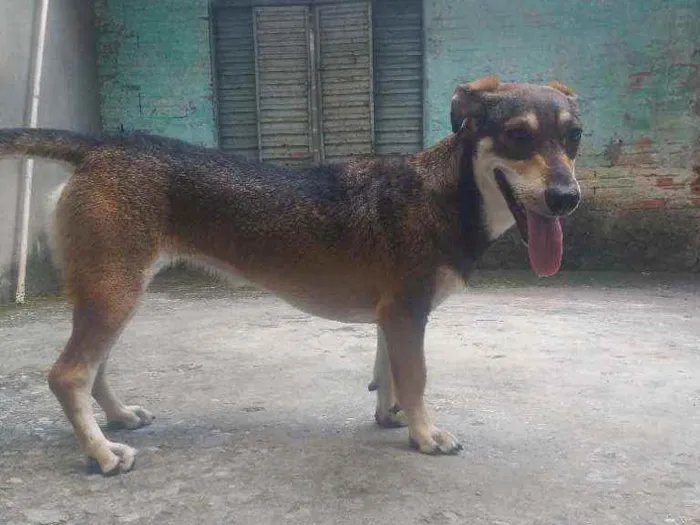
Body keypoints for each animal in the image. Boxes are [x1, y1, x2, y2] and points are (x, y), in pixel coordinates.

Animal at [0, 75, 580, 472]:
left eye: (574, 137)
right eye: (516, 136)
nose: (567, 198)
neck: (447, 193)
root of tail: (101, 144)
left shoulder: (391, 316)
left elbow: (388, 371)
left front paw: (390, 416)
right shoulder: (408, 313)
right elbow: (415, 378)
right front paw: (424, 435)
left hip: (113, 294)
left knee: (94, 370)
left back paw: (119, 417)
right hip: (115, 294)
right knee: (68, 375)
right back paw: (102, 453)